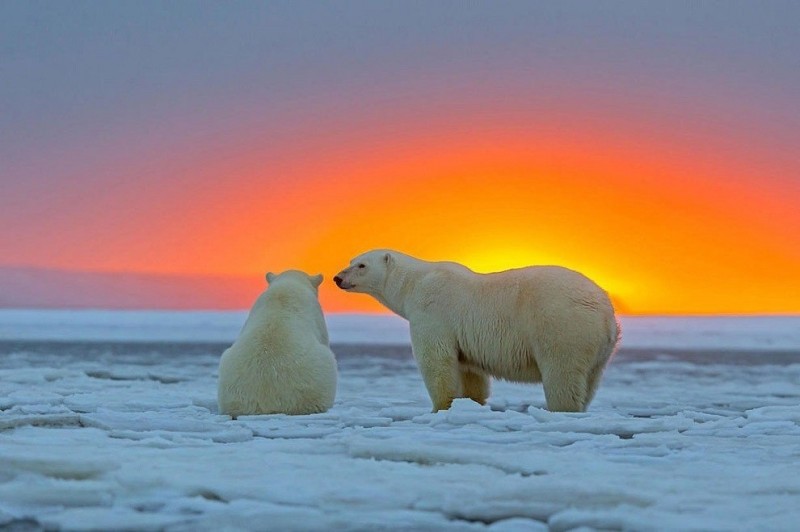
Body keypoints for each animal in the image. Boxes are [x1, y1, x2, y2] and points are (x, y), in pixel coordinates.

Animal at [332, 250, 620, 412]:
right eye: (351, 260)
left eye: (361, 265)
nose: (338, 277)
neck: (415, 283)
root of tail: (606, 311)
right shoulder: (464, 337)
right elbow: (470, 372)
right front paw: (472, 403)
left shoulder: (433, 312)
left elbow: (436, 361)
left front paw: (440, 407)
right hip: (600, 349)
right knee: (590, 380)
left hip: (561, 327)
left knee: (562, 374)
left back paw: (560, 410)